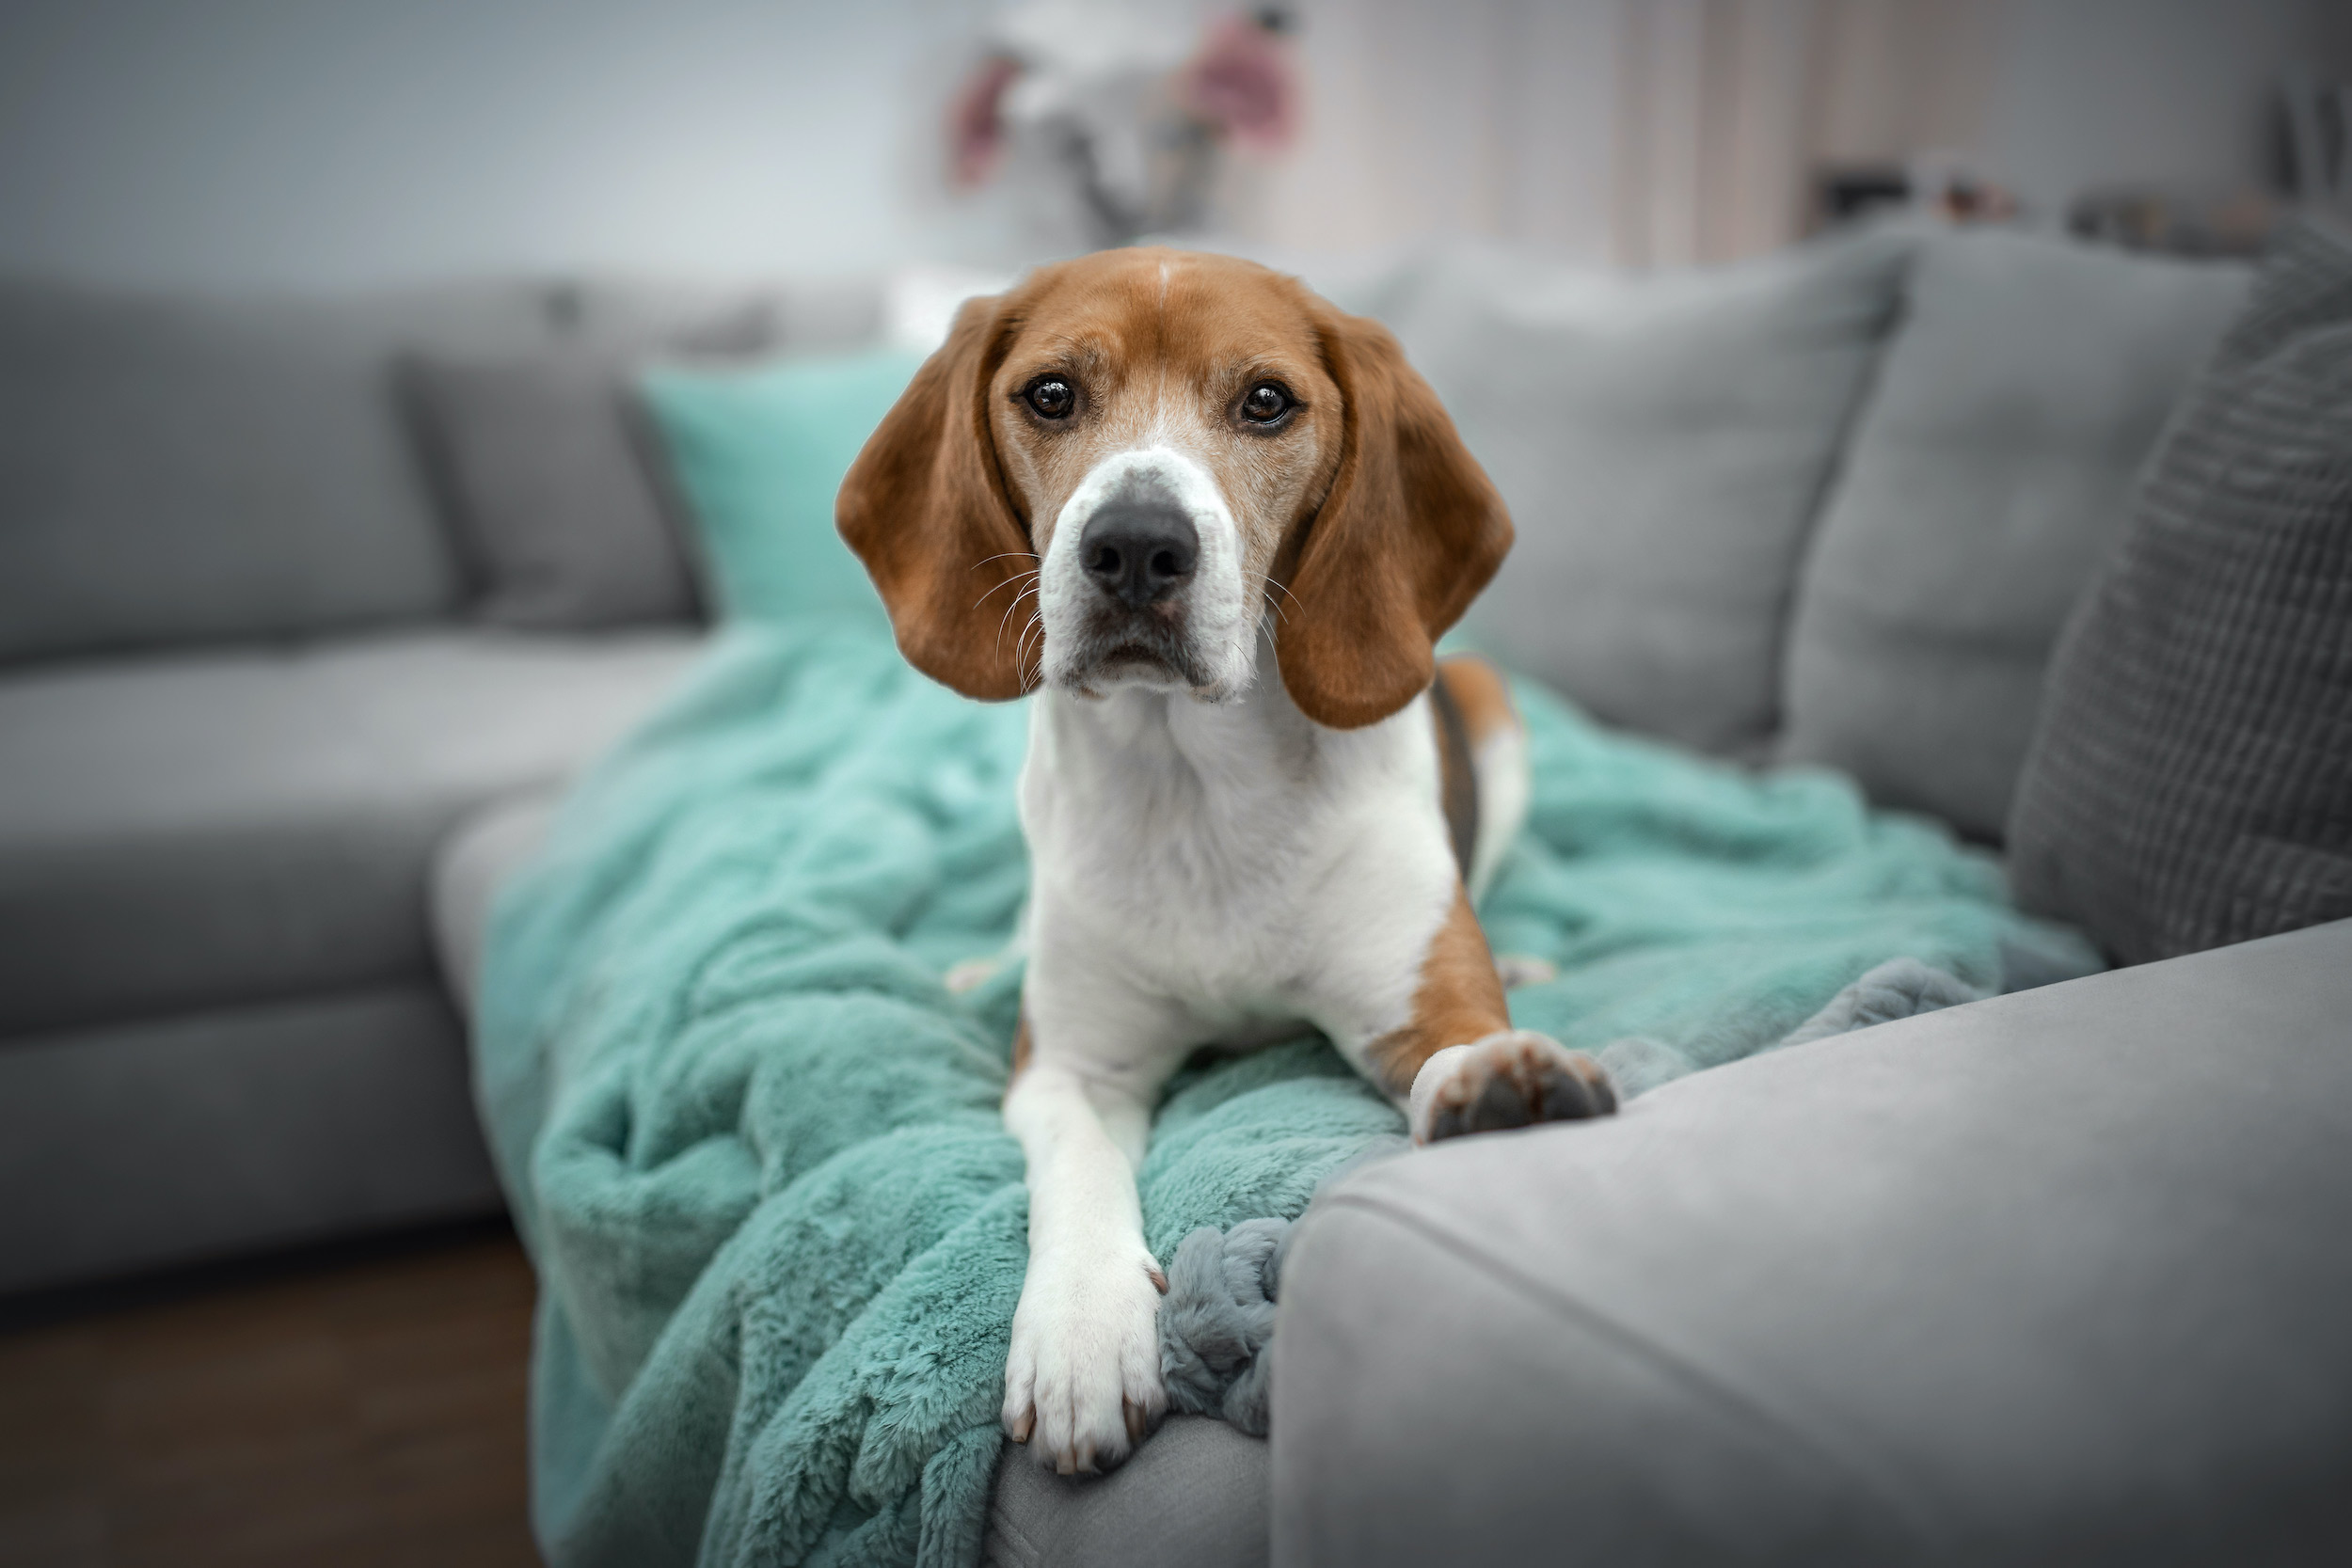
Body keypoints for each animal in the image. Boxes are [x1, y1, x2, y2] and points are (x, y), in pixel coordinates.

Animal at [842, 251, 1618, 1476]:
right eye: (1050, 393)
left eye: (1265, 402)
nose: (1135, 545)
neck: (1194, 787)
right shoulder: (1071, 1069)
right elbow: (1077, 1173)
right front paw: (1080, 1329)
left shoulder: (1416, 1006)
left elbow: (1460, 1048)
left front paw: (1504, 1084)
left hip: (1494, 706)